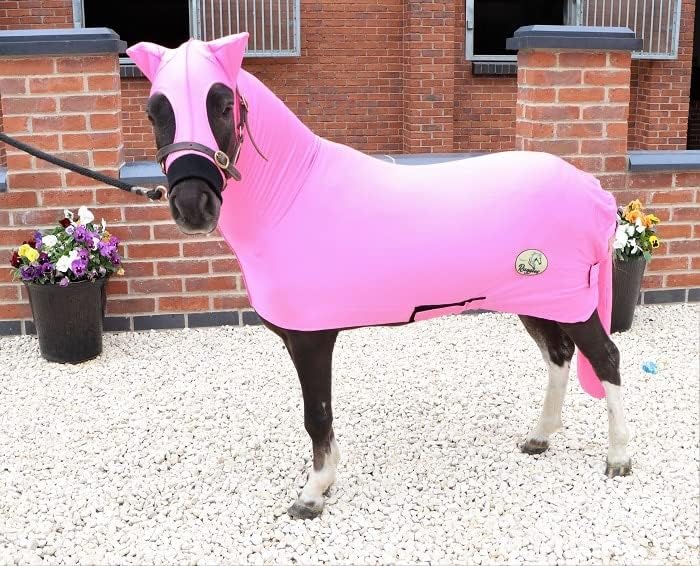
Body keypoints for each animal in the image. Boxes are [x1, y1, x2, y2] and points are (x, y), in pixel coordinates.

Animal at [127, 32, 631, 519]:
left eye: (223, 105)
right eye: (155, 111)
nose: (192, 206)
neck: (292, 198)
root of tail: (593, 190)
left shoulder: (311, 338)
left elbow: (316, 415)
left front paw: (313, 494)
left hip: (573, 303)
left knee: (605, 359)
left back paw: (619, 458)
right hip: (537, 301)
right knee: (558, 356)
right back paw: (539, 438)